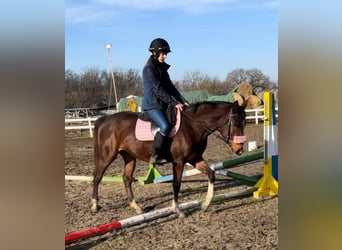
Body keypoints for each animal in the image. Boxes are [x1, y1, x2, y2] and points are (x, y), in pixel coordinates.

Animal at [91, 100, 246, 218]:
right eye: (236, 123)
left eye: (244, 123)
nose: (239, 149)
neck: (192, 126)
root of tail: (105, 120)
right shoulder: (179, 161)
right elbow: (176, 184)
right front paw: (177, 210)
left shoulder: (195, 158)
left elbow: (211, 174)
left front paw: (205, 205)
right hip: (107, 156)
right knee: (97, 177)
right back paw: (94, 205)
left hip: (129, 157)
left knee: (127, 179)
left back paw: (137, 207)